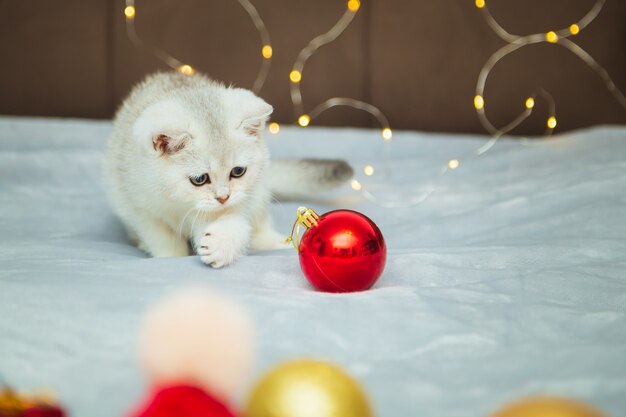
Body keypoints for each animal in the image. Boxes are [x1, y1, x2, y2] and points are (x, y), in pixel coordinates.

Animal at [105, 71, 354, 266]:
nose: (223, 197)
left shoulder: (240, 202)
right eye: (199, 179)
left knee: (260, 226)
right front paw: (170, 257)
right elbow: (163, 239)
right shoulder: (137, 207)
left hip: (259, 193)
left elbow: (236, 223)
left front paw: (221, 245)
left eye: (237, 172)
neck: (180, 204)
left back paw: (273, 242)